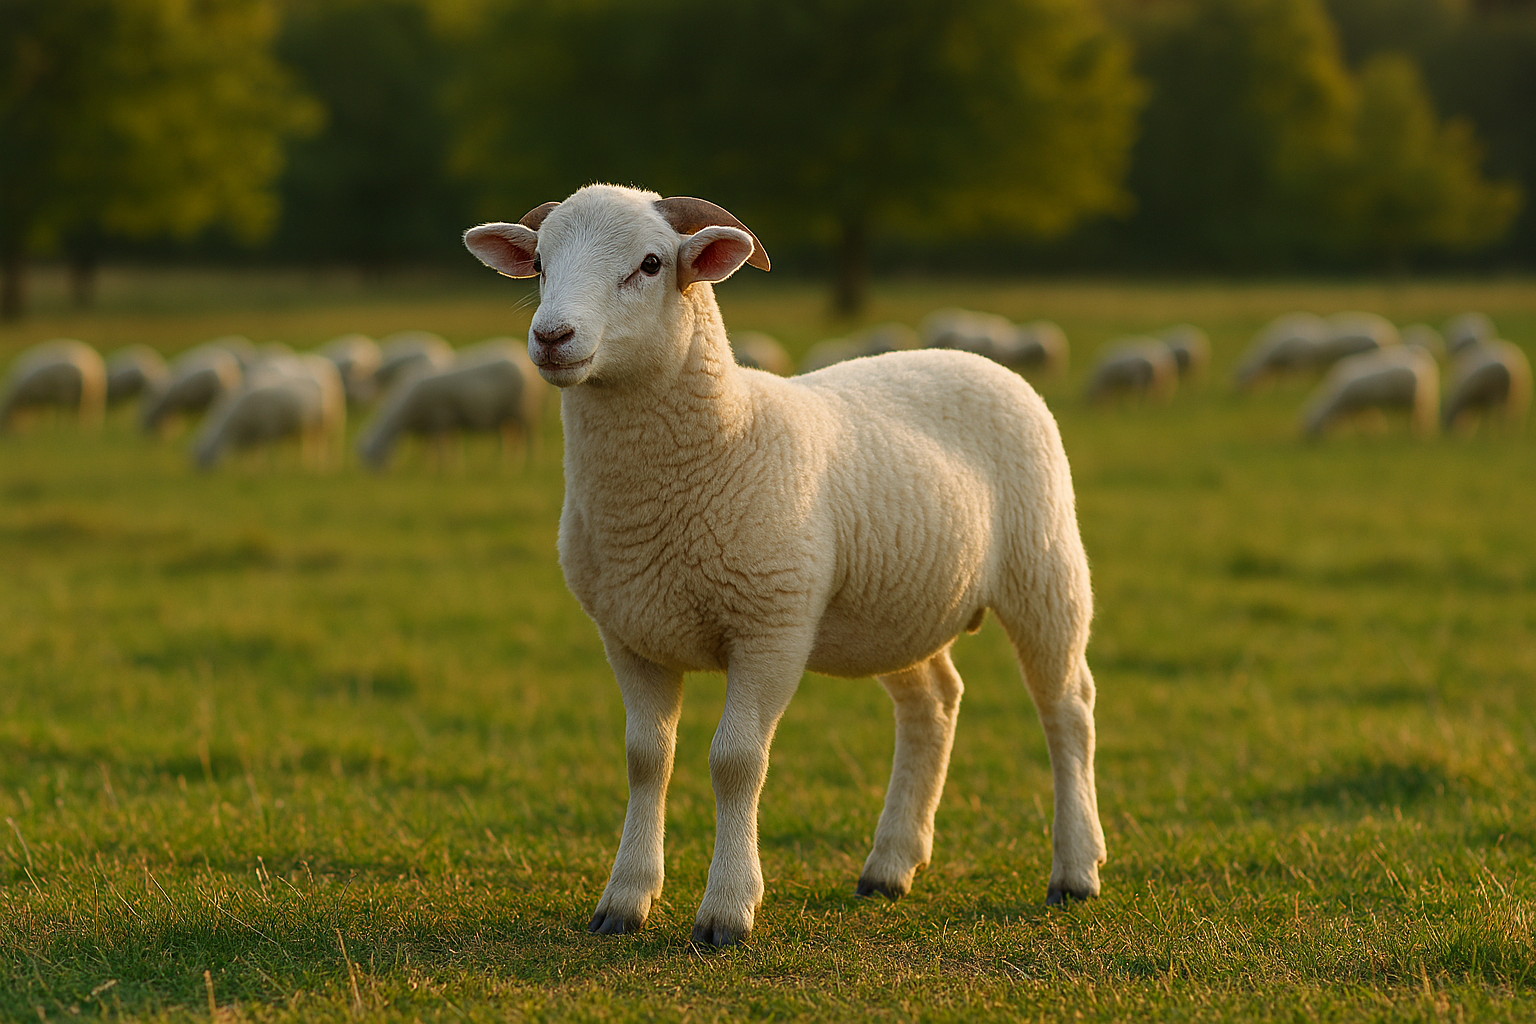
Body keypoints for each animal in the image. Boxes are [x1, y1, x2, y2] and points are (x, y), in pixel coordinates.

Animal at [191, 354, 345, 470]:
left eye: (202, 455)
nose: (199, 477)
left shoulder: (268, 428)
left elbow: (268, 451)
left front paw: (269, 469)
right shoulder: (254, 433)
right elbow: (253, 453)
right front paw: (250, 469)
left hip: (327, 422)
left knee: (324, 445)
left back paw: (320, 464)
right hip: (313, 425)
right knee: (312, 443)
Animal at [356, 338, 544, 470]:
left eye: (371, 457)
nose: (376, 481)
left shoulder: (440, 418)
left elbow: (441, 446)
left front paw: (443, 467)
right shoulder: (436, 423)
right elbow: (436, 446)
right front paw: (434, 466)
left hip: (525, 411)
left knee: (530, 437)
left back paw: (531, 461)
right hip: (509, 415)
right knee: (513, 439)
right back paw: (506, 462)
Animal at [464, 184, 1105, 947]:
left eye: (651, 264)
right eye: (538, 264)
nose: (552, 337)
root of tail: (973, 357)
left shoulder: (771, 627)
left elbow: (735, 762)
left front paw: (727, 911)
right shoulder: (629, 635)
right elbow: (646, 760)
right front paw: (624, 899)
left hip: (1046, 567)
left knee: (1067, 710)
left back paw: (1075, 871)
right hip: (898, 609)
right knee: (933, 704)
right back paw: (891, 866)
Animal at [1300, 346, 1439, 439]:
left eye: (1312, 426)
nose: (1309, 441)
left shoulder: (1359, 403)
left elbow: (1367, 420)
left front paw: (1374, 431)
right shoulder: (1360, 406)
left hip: (1415, 400)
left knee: (1417, 419)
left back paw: (1416, 434)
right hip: (1426, 397)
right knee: (1427, 416)